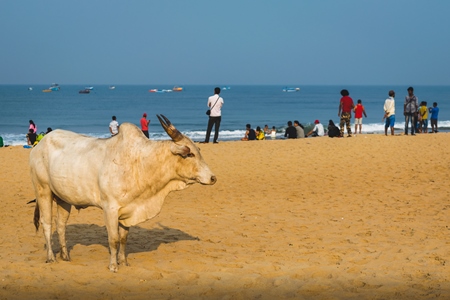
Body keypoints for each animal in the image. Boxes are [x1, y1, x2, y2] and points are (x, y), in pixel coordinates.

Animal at [29, 115, 216, 272]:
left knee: (61, 225)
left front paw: (123, 261)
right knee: (47, 224)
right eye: (189, 154)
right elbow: (114, 239)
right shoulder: (110, 209)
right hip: (43, 190)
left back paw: (65, 256)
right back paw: (51, 257)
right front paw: (113, 266)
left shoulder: (129, 209)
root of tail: (39, 146)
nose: (212, 178)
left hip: (63, 199)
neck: (140, 162)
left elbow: (124, 238)